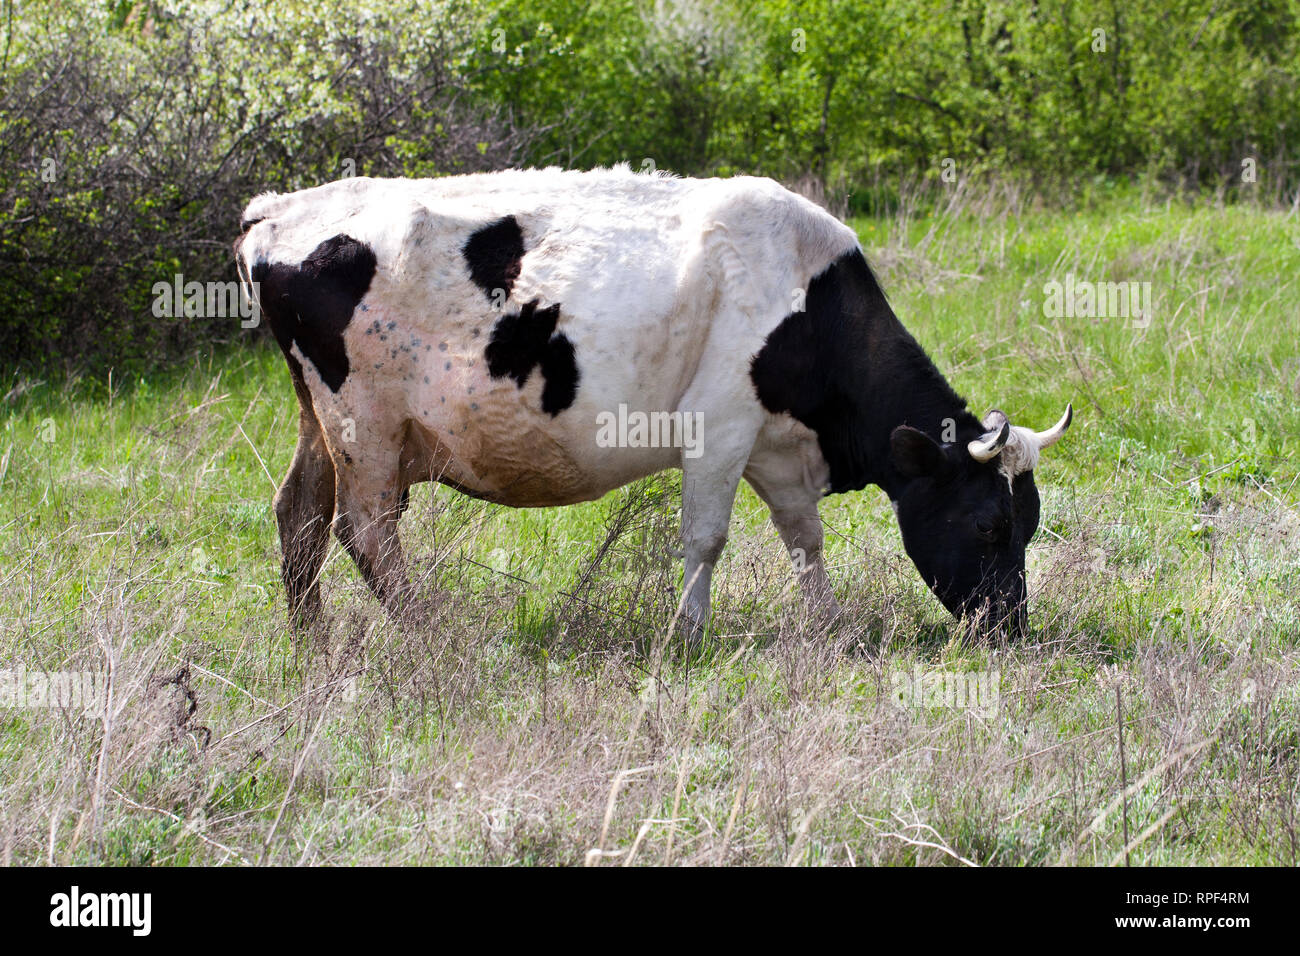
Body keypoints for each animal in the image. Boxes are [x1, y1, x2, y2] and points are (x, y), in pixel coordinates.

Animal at [233, 166, 1071, 641]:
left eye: (1031, 522)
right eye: (990, 524)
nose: (1010, 627)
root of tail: (278, 209)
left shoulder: (777, 448)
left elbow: (805, 539)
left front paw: (830, 627)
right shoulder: (720, 425)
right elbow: (706, 538)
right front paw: (685, 634)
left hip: (323, 422)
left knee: (298, 514)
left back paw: (313, 647)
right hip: (365, 423)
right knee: (364, 530)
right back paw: (431, 634)